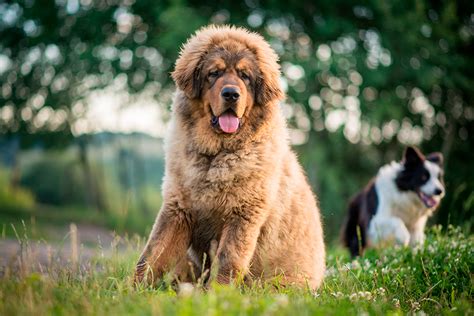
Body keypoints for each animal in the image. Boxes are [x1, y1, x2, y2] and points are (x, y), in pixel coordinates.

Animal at [133, 25, 326, 290]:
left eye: (245, 76)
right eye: (214, 73)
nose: (231, 94)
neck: (216, 155)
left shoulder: (242, 216)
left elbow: (227, 260)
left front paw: (216, 293)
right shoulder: (177, 209)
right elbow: (151, 255)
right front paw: (129, 290)